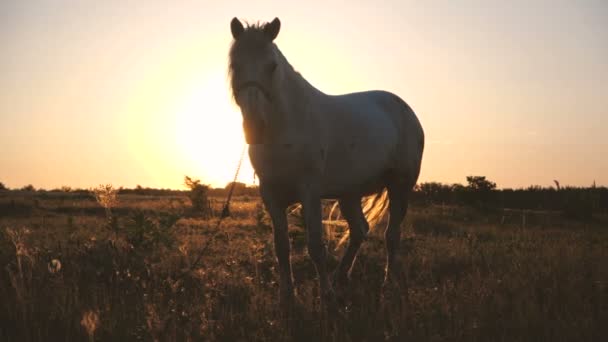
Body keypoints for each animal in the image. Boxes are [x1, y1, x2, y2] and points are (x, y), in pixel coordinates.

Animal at [227, 16, 422, 310]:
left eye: (272, 66)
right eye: (235, 65)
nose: (255, 128)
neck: (286, 124)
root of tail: (406, 109)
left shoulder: (310, 193)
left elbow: (316, 246)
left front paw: (326, 296)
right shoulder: (270, 195)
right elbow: (281, 247)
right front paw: (287, 297)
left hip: (400, 186)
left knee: (391, 236)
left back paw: (387, 285)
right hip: (349, 193)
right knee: (359, 230)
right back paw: (342, 277)